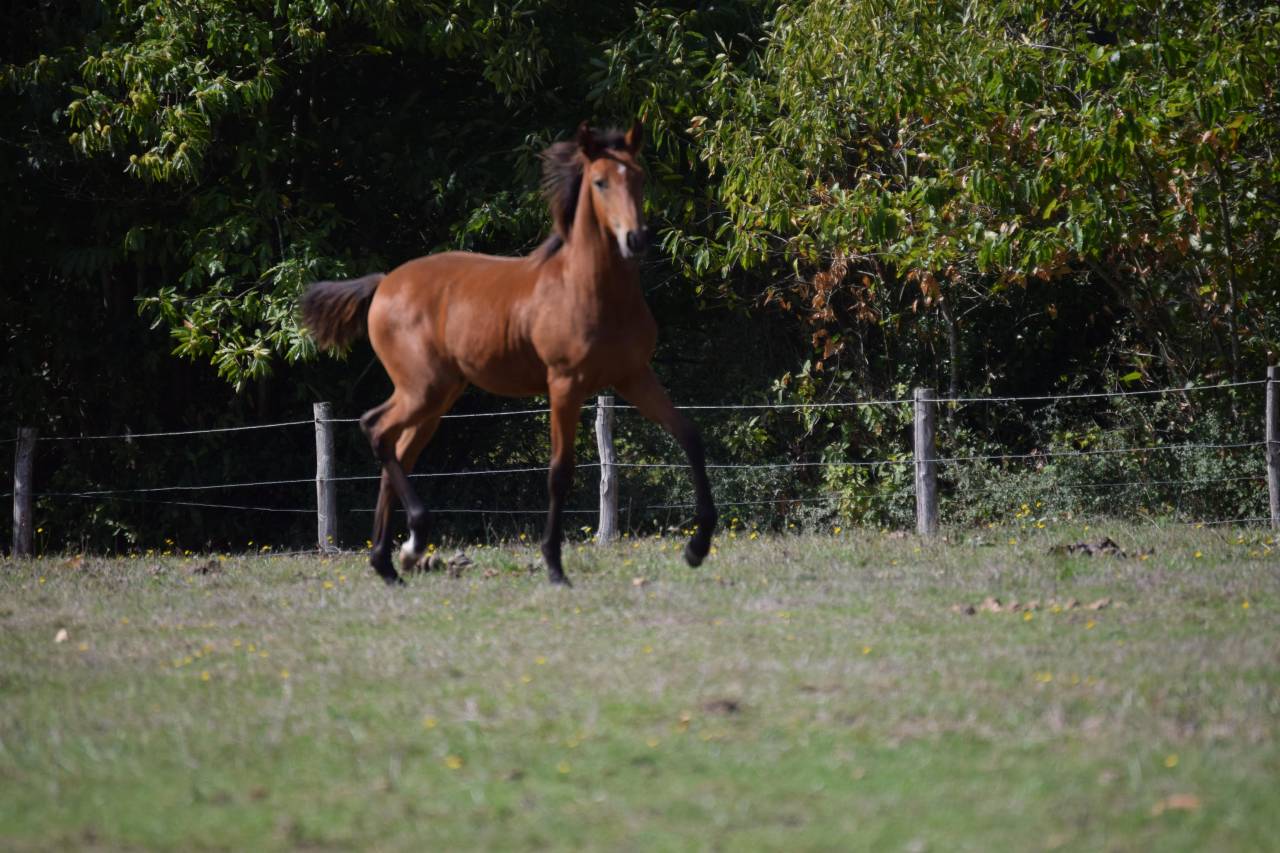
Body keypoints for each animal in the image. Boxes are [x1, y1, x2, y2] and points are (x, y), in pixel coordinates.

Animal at [301, 120, 717, 586]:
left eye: (640, 178)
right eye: (600, 182)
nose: (636, 238)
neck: (589, 289)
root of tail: (384, 283)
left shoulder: (634, 376)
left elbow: (689, 435)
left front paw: (697, 547)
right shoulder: (565, 385)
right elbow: (559, 472)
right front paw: (554, 566)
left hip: (437, 397)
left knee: (398, 450)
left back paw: (392, 562)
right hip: (422, 389)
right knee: (374, 428)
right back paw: (410, 541)